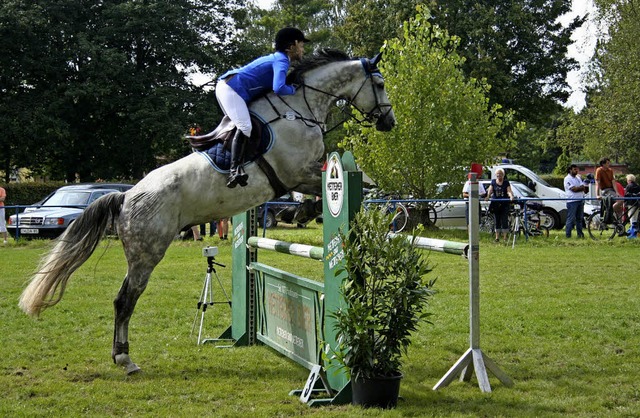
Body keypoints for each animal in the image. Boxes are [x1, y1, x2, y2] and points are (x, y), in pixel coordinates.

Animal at [18, 49, 396, 376]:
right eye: (379, 84)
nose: (389, 122)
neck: (300, 107)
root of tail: (125, 198)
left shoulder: (300, 175)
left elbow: (339, 188)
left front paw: (311, 211)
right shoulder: (297, 172)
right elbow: (336, 187)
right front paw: (309, 211)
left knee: (123, 300)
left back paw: (121, 356)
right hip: (146, 253)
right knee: (124, 300)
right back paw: (125, 359)